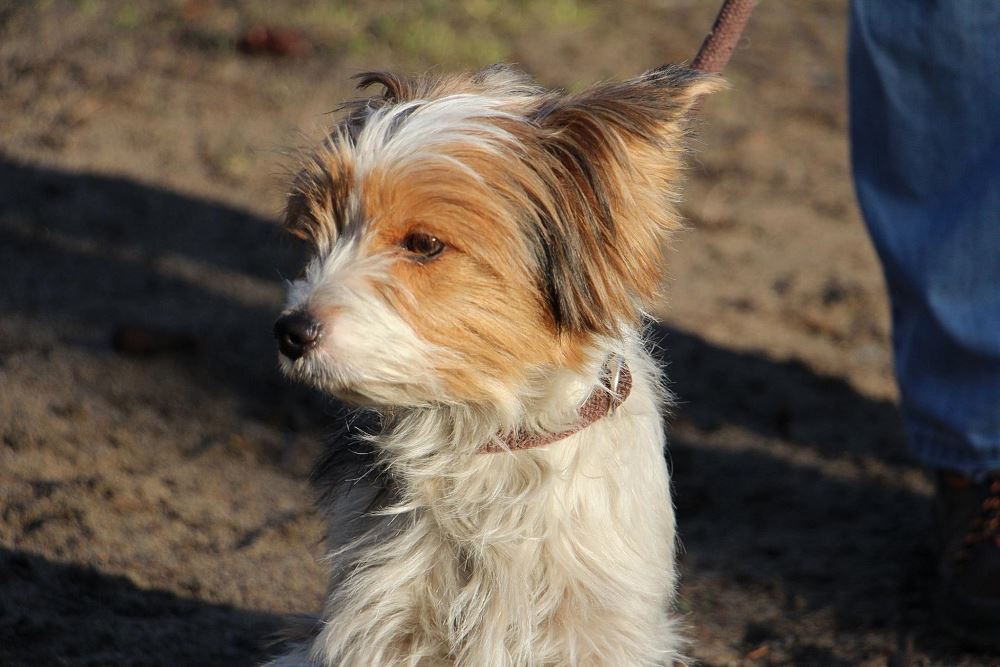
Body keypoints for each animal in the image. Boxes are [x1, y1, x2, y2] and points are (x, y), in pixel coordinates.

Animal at [266, 63, 721, 666]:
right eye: (318, 231)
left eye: (424, 244)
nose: (291, 332)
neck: (484, 434)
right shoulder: (381, 614)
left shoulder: (598, 629)